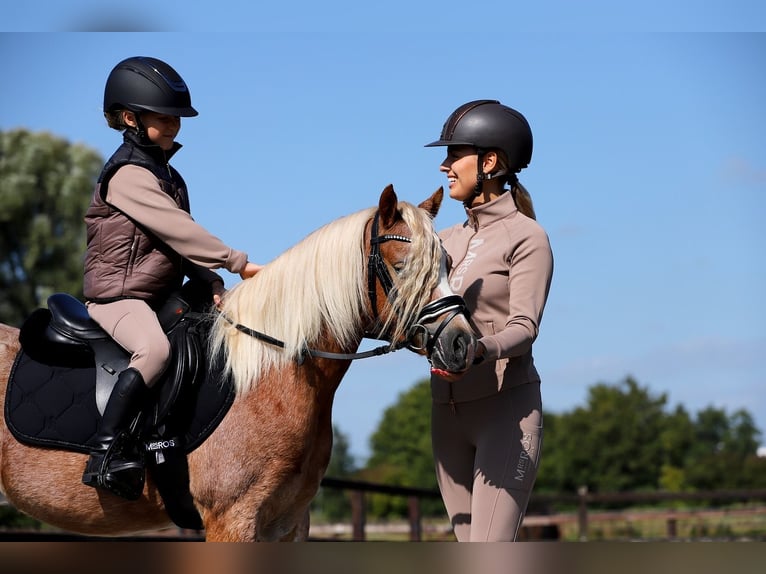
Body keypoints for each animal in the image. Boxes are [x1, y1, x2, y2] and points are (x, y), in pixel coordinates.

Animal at [0, 186, 476, 544]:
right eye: (403, 267)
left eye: (448, 263)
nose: (462, 343)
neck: (269, 375)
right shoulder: (232, 520)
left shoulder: (288, 523)